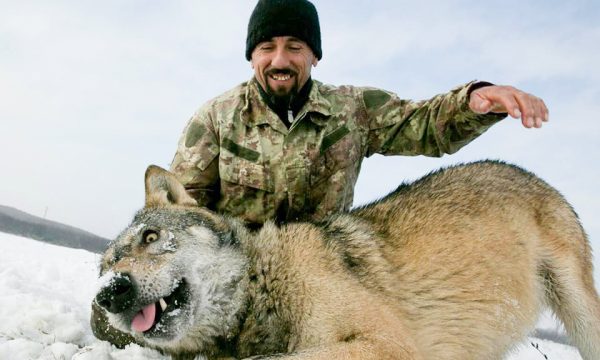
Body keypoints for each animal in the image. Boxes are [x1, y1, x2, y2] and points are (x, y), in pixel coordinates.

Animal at [92, 162, 600, 358]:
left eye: (150, 237)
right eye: (105, 267)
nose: (110, 293)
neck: (260, 289)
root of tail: (530, 174)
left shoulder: (387, 345)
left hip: (582, 315)